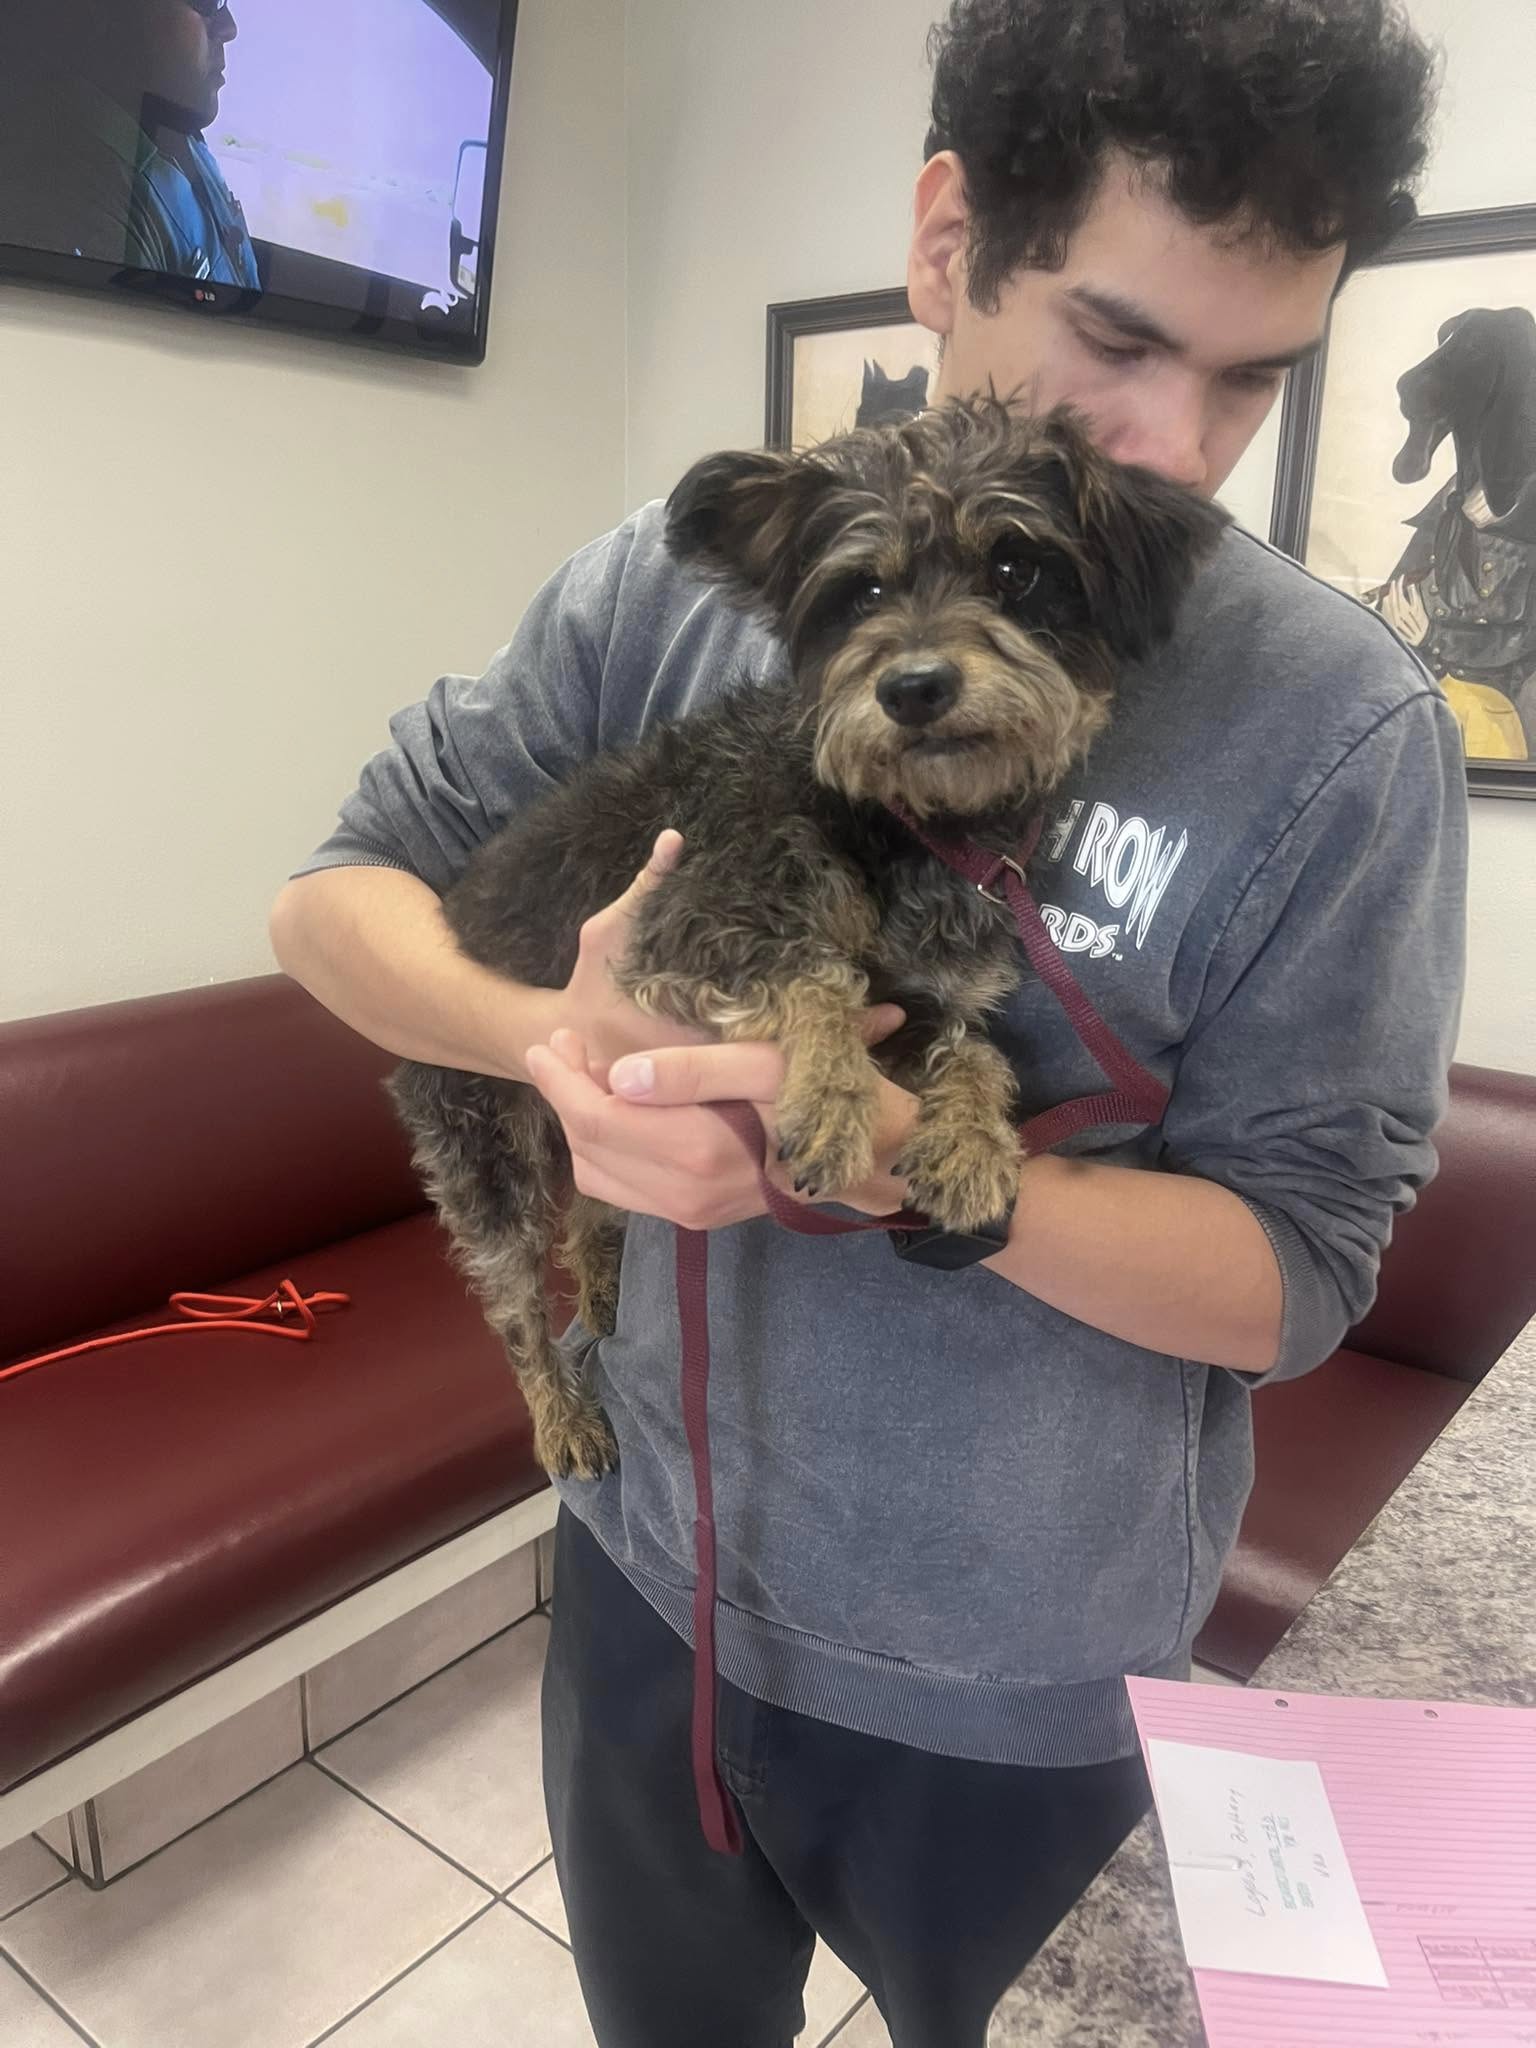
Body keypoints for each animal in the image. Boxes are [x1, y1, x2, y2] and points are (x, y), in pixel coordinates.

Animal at [391, 387, 1236, 1474]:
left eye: (1016, 567)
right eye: (860, 589)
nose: (914, 686)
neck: (913, 823)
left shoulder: (925, 997)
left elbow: (979, 1051)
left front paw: (972, 1140)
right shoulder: (687, 920)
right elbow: (815, 970)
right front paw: (832, 1100)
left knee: (591, 1201)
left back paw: (610, 1285)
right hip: (480, 1144)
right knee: (515, 1305)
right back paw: (562, 1412)